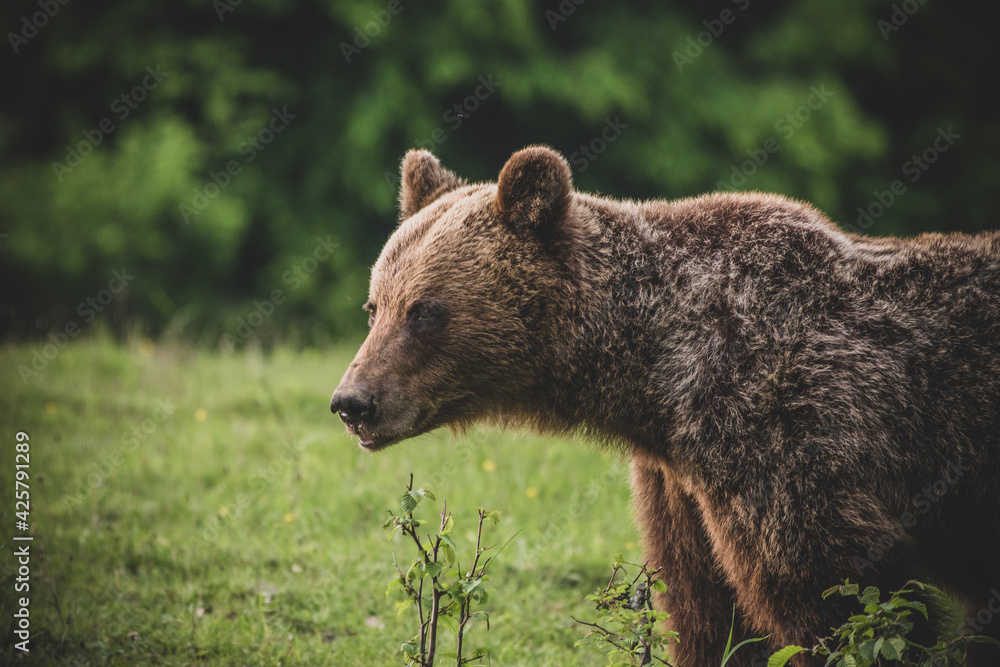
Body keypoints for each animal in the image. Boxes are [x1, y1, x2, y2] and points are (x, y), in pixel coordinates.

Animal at [330, 146, 1000, 666]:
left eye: (425, 310)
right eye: (375, 305)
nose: (351, 402)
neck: (657, 376)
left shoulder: (787, 429)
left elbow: (849, 603)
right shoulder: (680, 483)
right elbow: (709, 612)